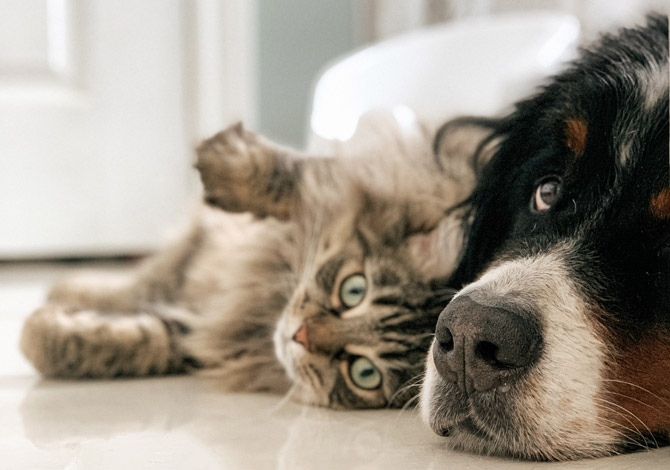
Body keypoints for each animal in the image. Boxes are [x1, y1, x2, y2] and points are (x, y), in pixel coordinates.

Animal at [21, 113, 494, 408]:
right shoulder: (355, 182)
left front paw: (38, 333)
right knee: (141, 280)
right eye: (353, 290)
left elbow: (138, 340)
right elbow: (291, 177)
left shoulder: (203, 334)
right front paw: (224, 160)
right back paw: (67, 286)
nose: (299, 336)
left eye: (364, 373)